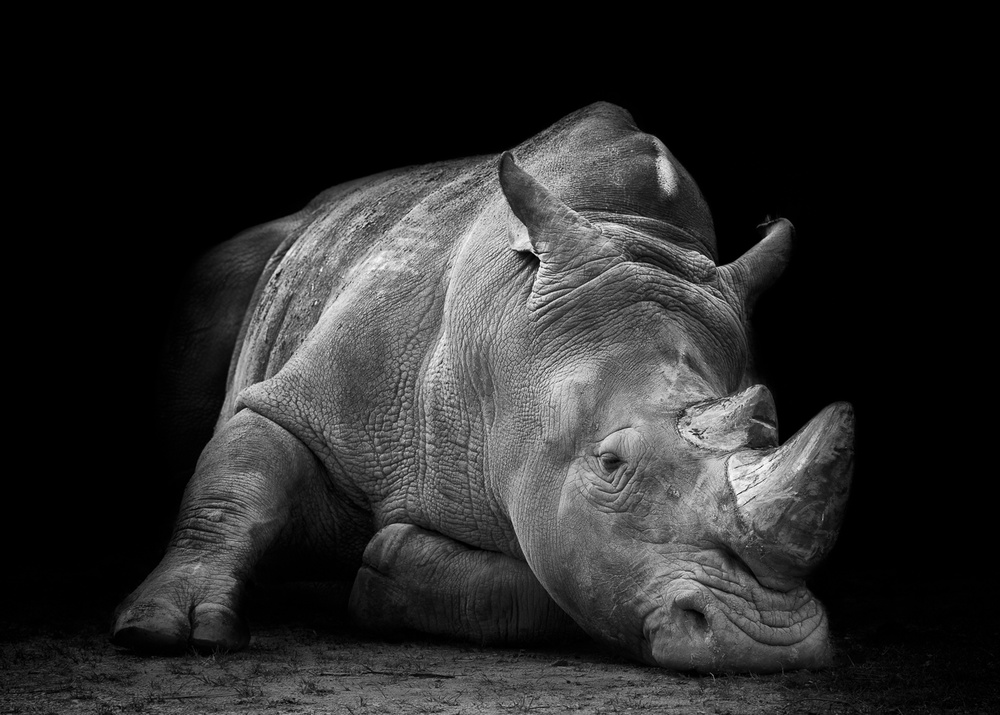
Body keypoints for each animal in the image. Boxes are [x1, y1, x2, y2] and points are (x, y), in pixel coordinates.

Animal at [111, 102, 854, 673]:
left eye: (768, 430)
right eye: (610, 463)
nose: (767, 640)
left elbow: (569, 580)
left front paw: (385, 569)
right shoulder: (311, 401)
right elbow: (239, 474)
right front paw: (164, 629)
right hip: (242, 266)